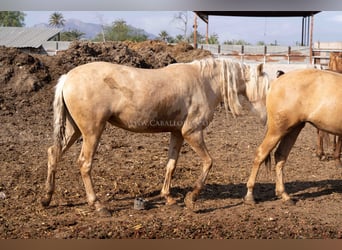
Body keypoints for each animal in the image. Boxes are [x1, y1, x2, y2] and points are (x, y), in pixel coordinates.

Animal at [40, 58, 270, 215]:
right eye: (265, 89)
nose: (267, 118)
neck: (204, 82)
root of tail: (68, 78)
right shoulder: (192, 132)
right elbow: (208, 162)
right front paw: (191, 199)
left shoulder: (177, 134)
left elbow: (171, 165)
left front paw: (168, 198)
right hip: (92, 131)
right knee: (84, 164)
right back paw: (97, 205)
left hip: (74, 130)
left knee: (53, 153)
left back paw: (47, 198)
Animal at [244, 69, 342, 205]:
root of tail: (277, 82)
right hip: (278, 130)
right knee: (261, 153)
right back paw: (250, 195)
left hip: (293, 129)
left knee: (280, 155)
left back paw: (284, 195)